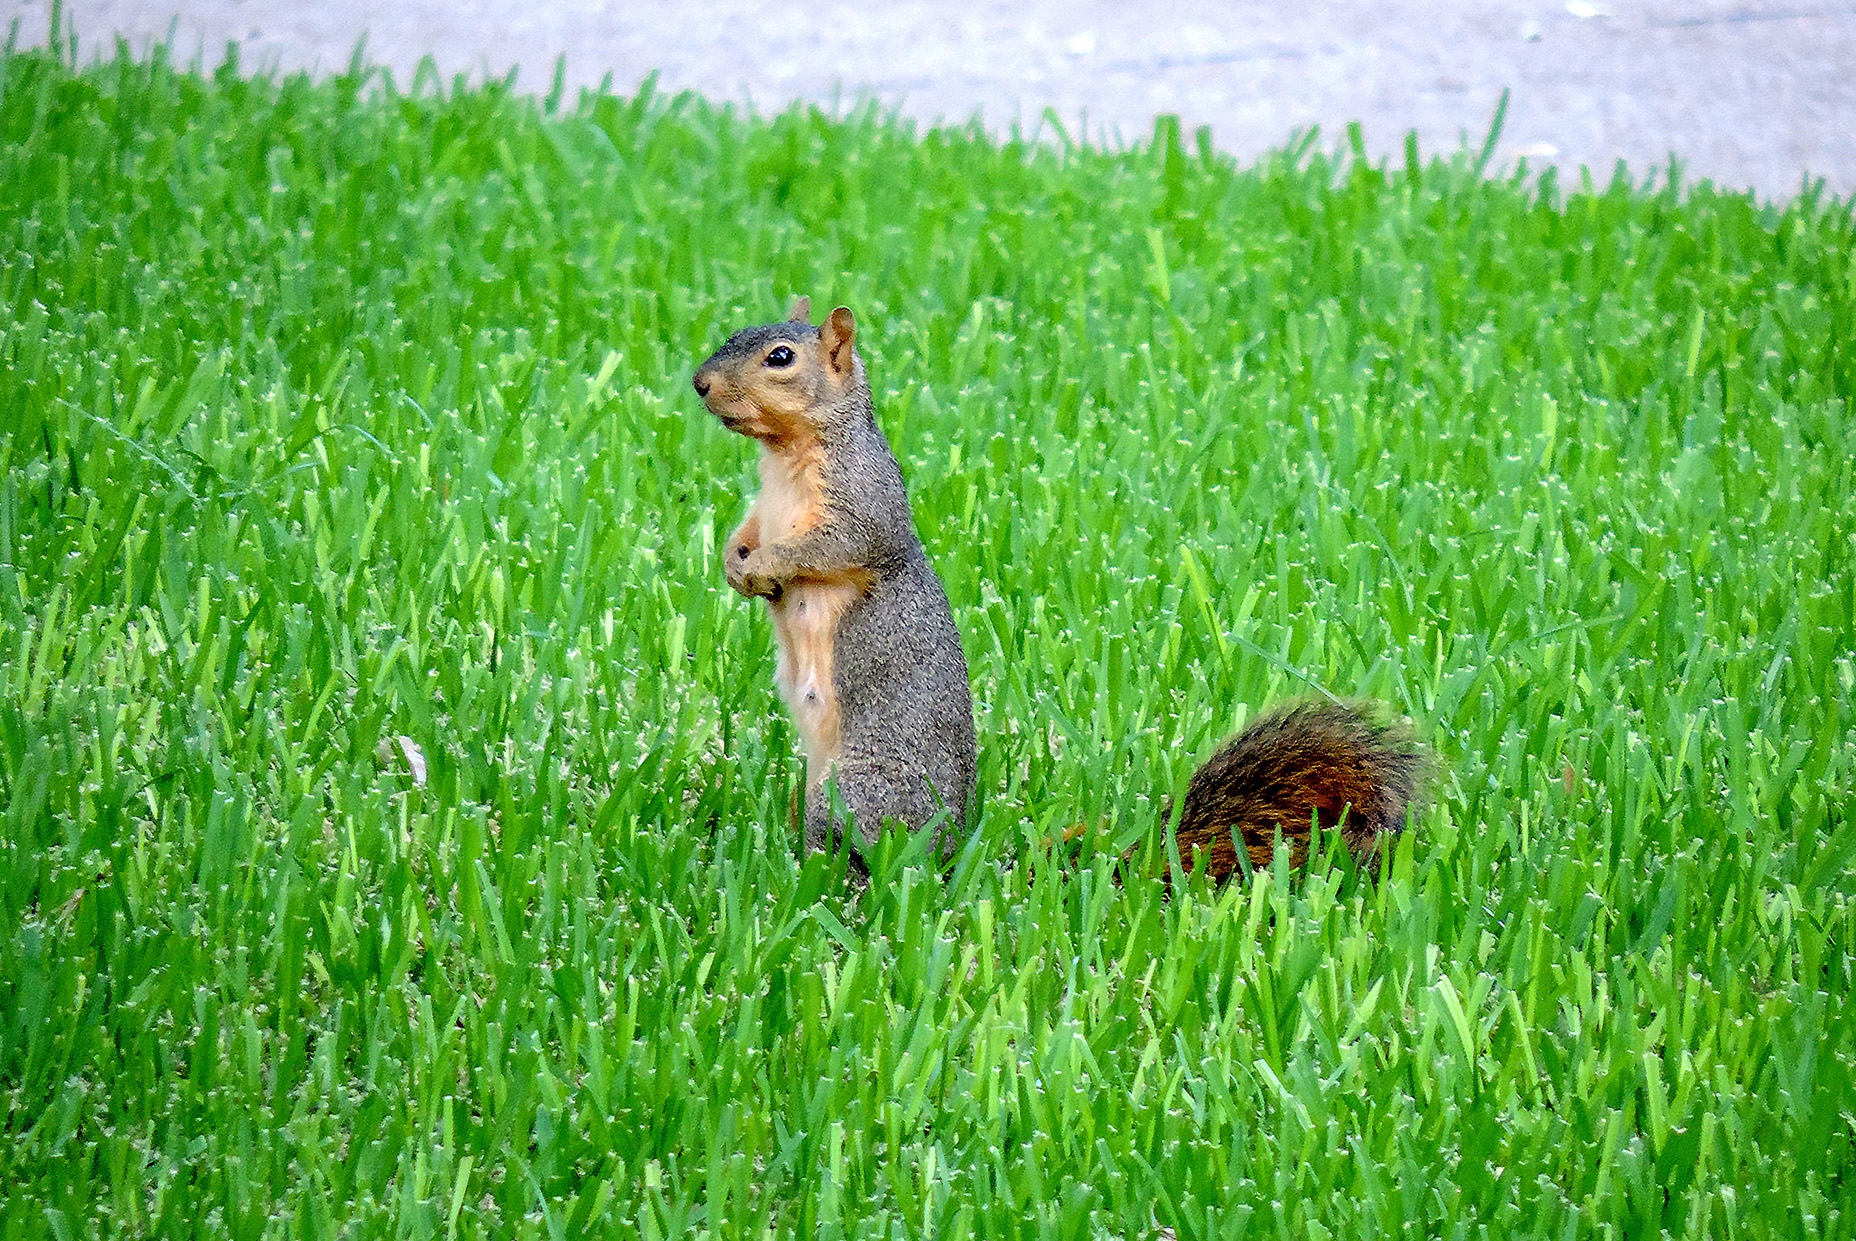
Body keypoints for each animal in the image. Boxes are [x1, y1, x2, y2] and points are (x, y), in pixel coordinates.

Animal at [694, 300, 1417, 879]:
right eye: (734, 333)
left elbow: (831, 548)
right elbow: (746, 529)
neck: (784, 458)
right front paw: (735, 562)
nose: (700, 384)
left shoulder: (863, 504)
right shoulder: (765, 507)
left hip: (857, 786)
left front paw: (765, 567)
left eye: (780, 358)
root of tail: (953, 851)